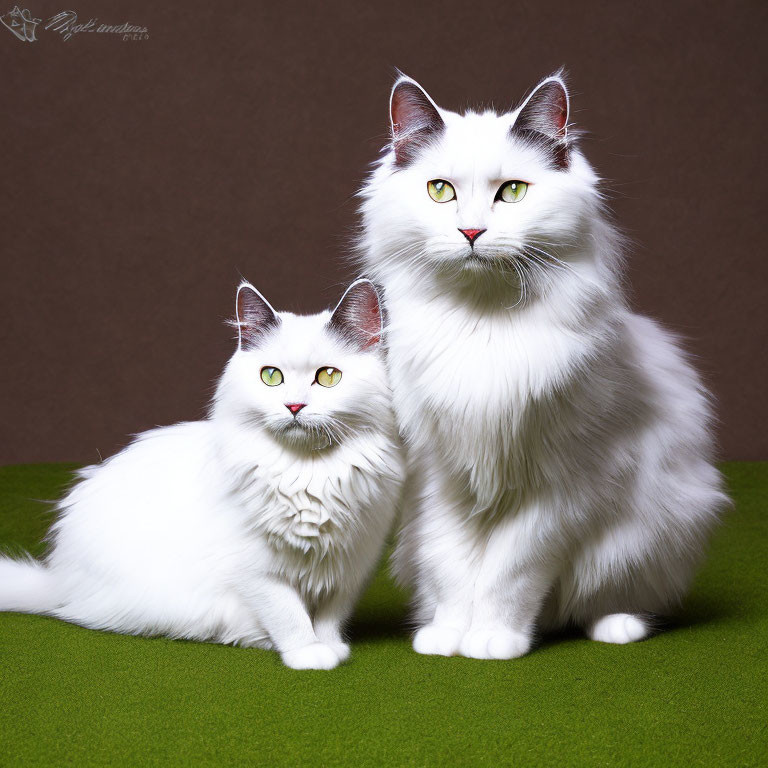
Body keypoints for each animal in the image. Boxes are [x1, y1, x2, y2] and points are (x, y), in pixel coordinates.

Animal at [0, 280, 404, 668]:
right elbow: (289, 615)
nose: (294, 406)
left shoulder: (351, 566)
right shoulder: (256, 571)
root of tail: (59, 581)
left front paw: (332, 647)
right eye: (271, 377)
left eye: (329, 377)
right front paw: (308, 654)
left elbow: (331, 617)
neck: (307, 473)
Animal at [356, 73, 728, 660]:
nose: (472, 233)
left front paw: (494, 640)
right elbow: (452, 567)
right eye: (441, 191)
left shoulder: (557, 488)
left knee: (606, 598)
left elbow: (510, 572)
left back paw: (615, 628)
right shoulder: (440, 477)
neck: (481, 329)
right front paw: (448, 636)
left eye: (512, 192)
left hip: (647, 536)